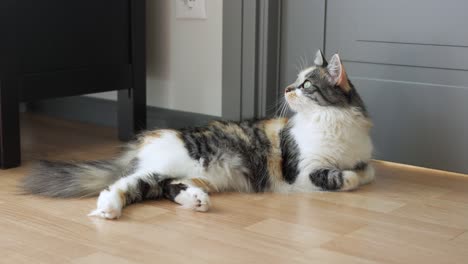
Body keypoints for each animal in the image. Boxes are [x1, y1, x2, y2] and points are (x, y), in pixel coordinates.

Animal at [22, 50, 374, 220]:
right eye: (296, 81)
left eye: (306, 84)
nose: (287, 88)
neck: (331, 120)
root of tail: (148, 138)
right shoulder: (301, 171)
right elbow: (345, 177)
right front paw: (348, 177)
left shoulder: (361, 156)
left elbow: (366, 168)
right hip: (172, 162)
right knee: (124, 183)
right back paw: (108, 207)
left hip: (184, 173)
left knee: (159, 187)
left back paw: (195, 200)